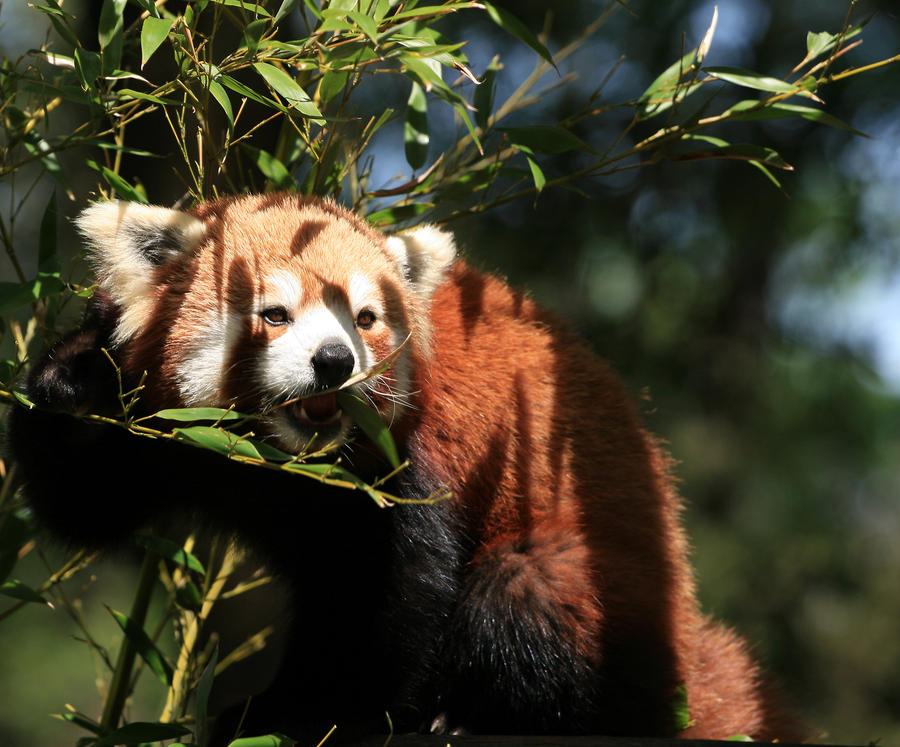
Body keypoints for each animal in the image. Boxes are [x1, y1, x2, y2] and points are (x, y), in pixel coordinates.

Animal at [6, 193, 802, 743]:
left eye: (364, 318)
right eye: (275, 313)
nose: (335, 362)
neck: (274, 457)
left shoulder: (406, 461)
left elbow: (394, 594)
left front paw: (312, 712)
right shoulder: (169, 437)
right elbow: (85, 502)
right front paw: (73, 377)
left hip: (590, 577)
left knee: (521, 597)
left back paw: (468, 717)